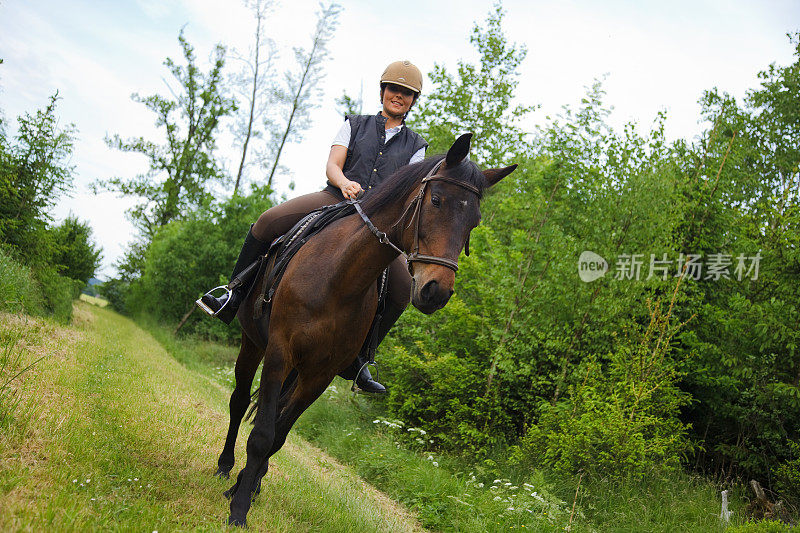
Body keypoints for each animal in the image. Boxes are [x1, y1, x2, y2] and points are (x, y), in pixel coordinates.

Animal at [220, 133, 520, 524]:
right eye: (436, 200)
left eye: (475, 220)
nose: (436, 291)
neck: (337, 278)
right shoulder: (278, 354)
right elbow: (261, 434)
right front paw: (238, 510)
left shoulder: (320, 374)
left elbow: (278, 436)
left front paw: (245, 490)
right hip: (253, 343)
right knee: (240, 400)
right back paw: (225, 466)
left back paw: (248, 481)